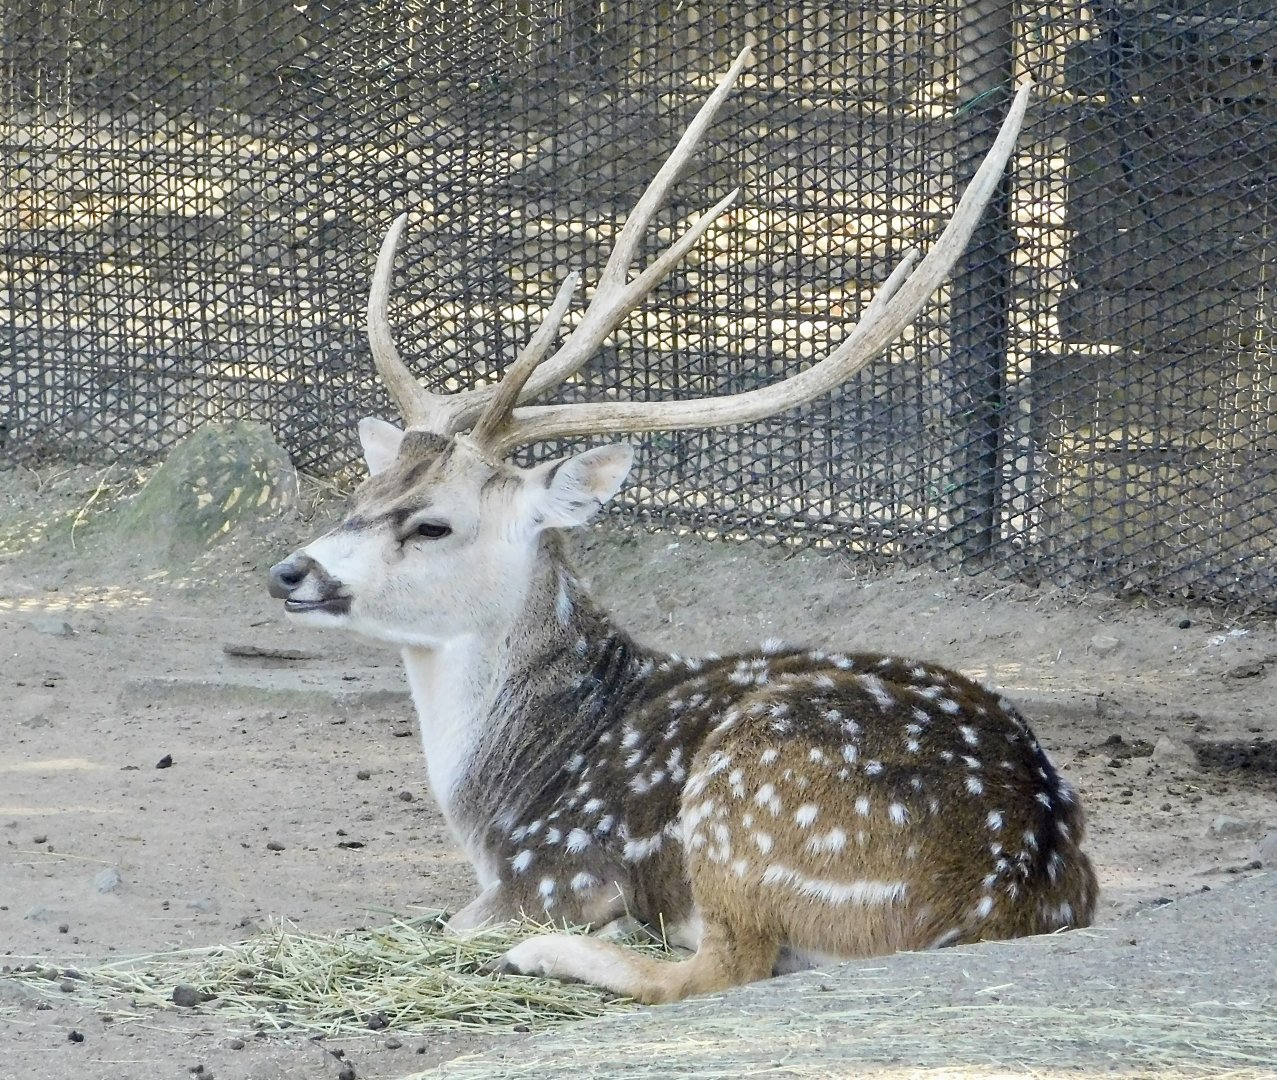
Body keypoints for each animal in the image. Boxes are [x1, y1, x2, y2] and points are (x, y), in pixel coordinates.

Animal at [267, 46, 1097, 1005]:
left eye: (432, 524)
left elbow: (455, 920)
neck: (498, 800)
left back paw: (550, 955)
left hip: (744, 793)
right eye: (360, 495)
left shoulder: (552, 869)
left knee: (721, 967)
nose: (291, 572)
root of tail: (1004, 890)